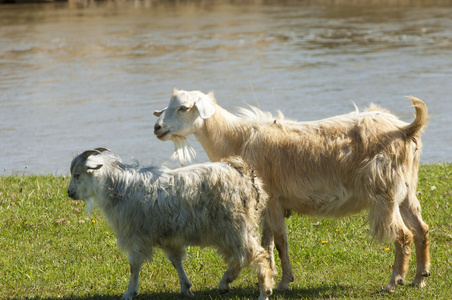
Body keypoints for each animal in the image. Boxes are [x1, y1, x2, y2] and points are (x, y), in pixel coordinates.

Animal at [67, 148, 272, 300]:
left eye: (77, 175)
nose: (69, 193)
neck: (118, 187)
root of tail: (244, 174)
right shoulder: (169, 237)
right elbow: (176, 261)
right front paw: (186, 288)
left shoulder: (135, 237)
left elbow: (134, 266)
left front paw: (129, 293)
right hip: (232, 228)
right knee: (241, 257)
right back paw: (225, 283)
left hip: (234, 225)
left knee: (255, 254)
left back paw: (263, 291)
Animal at [153, 89, 430, 292]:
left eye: (184, 107)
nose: (157, 128)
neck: (236, 139)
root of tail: (406, 129)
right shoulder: (266, 203)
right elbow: (267, 241)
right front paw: (269, 276)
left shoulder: (274, 200)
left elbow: (280, 242)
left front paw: (284, 282)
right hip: (405, 191)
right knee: (421, 229)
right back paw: (420, 277)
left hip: (384, 192)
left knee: (403, 235)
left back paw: (394, 282)